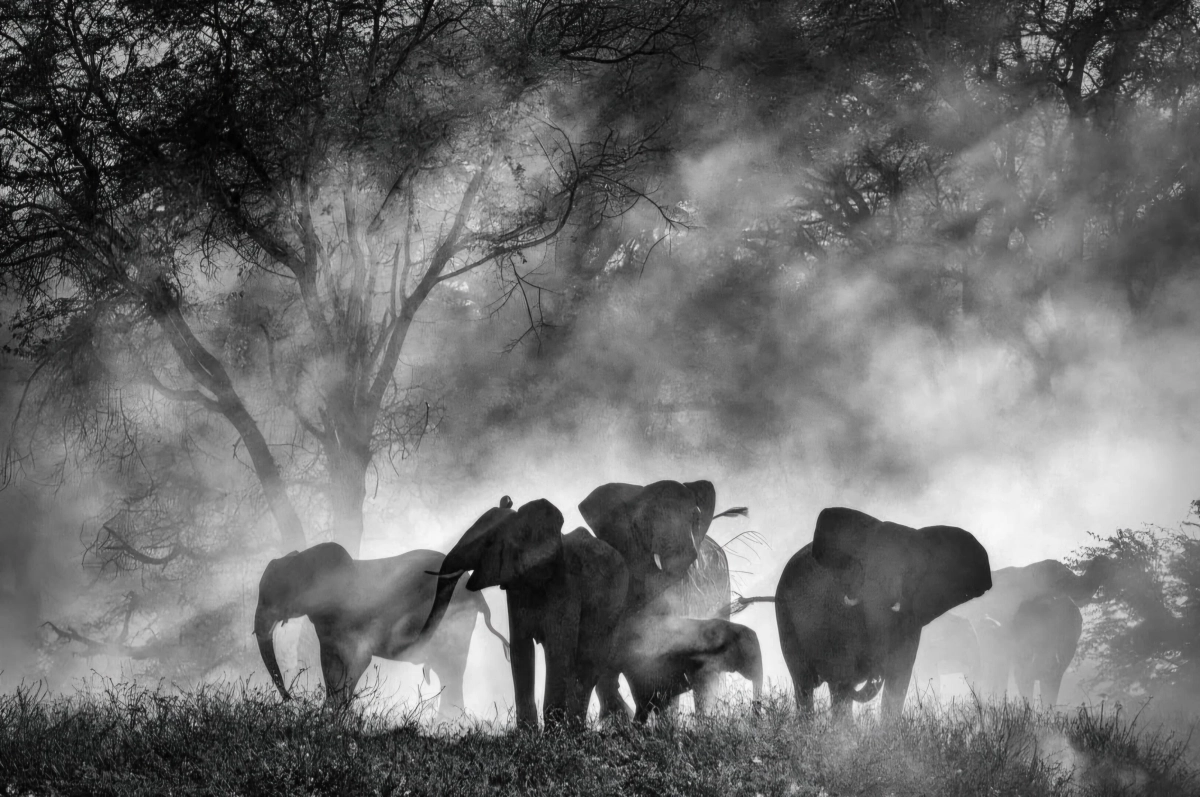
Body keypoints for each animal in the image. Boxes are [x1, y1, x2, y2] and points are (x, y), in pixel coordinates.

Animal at [254, 543, 510, 712]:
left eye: (277, 594)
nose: (291, 699)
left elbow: (357, 661)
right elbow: (330, 667)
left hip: (455, 621)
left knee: (451, 670)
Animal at [417, 497, 628, 729]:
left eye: (489, 542)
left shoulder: (566, 585)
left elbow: (558, 649)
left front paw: (553, 734)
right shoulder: (516, 586)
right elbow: (520, 649)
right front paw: (527, 732)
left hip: (612, 608)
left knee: (588, 663)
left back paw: (575, 730)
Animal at [774, 507, 992, 719]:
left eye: (910, 572)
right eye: (864, 566)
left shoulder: (911, 620)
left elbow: (898, 678)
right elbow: (841, 674)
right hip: (785, 620)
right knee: (804, 685)